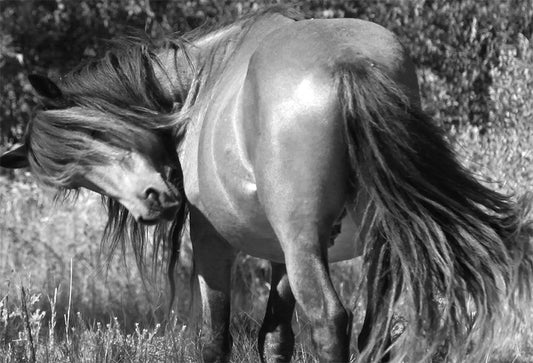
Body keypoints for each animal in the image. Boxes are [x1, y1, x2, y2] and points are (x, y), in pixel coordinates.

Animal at [1, 6, 532, 363]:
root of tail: (348, 62)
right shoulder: (281, 255)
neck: (199, 84)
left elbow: (215, 339)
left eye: (94, 132)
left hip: (304, 245)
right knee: (374, 328)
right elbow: (276, 338)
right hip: (372, 242)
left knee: (330, 321)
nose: (154, 203)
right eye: (76, 176)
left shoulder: (212, 241)